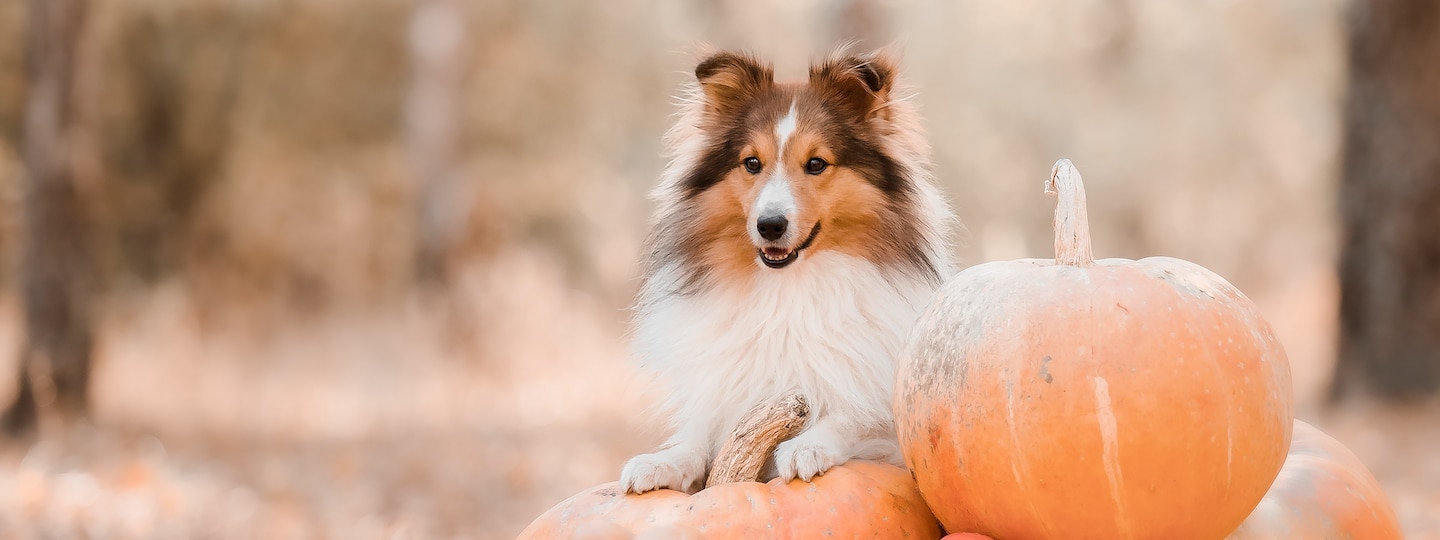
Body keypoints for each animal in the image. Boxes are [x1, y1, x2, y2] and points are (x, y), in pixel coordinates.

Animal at [622, 49, 950, 495]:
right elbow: (698, 440)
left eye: (816, 163)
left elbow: (855, 417)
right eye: (751, 163)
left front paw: (806, 446)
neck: (789, 288)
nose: (770, 225)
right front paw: (659, 462)